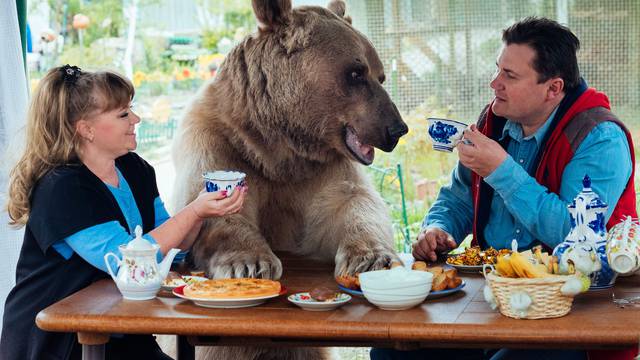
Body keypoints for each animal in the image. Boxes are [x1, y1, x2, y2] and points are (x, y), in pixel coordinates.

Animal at [171, 0, 404, 358]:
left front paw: (370, 259)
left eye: (380, 74)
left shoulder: (322, 170)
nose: (396, 129)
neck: (278, 148)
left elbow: (351, 204)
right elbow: (215, 207)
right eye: (356, 72)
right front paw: (251, 263)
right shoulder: (218, 141)